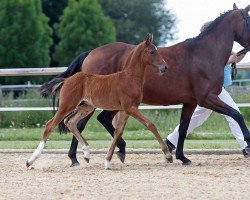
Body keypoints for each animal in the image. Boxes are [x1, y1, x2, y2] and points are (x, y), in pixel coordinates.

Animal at [26, 34, 172, 169]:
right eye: (152, 51)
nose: (165, 67)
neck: (129, 78)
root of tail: (66, 80)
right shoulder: (131, 108)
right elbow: (150, 124)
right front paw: (168, 155)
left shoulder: (127, 110)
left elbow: (118, 133)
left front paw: (107, 162)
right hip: (67, 105)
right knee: (50, 125)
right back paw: (30, 160)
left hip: (86, 107)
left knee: (70, 122)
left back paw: (86, 153)